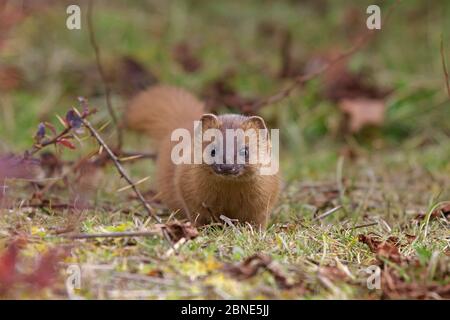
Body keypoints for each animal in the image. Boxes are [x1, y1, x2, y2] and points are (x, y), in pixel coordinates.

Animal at [125, 85, 280, 228]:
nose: (226, 166)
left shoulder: (263, 204)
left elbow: (258, 221)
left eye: (245, 151)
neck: (229, 197)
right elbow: (197, 216)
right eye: (212, 150)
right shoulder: (190, 194)